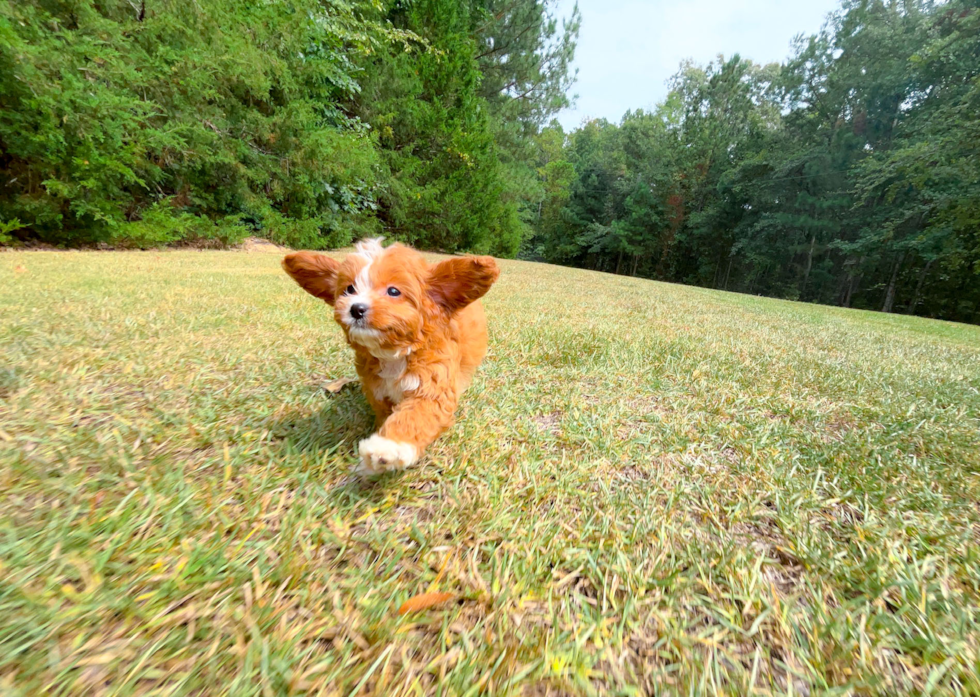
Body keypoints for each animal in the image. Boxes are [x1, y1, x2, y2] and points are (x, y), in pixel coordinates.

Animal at [282, 238, 498, 474]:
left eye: (393, 291)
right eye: (349, 288)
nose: (356, 308)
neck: (394, 354)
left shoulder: (432, 384)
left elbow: (416, 415)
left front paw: (388, 447)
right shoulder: (378, 390)